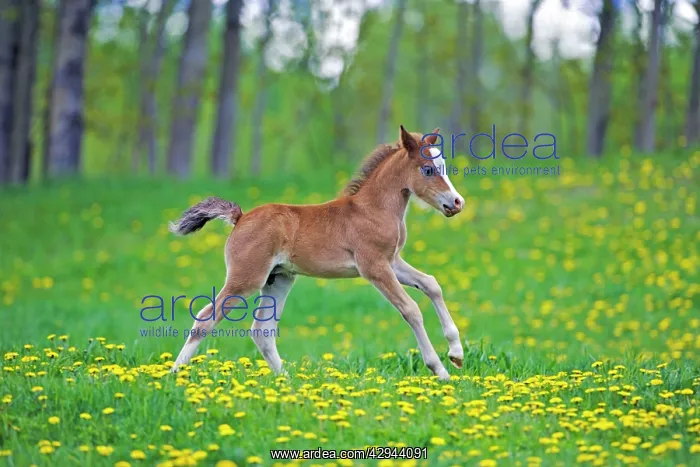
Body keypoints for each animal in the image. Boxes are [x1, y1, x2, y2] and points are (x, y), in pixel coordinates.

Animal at [168, 126, 465, 380]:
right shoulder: (374, 267)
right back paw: (174, 374)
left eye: (443, 166)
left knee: (262, 330)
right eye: (428, 169)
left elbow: (431, 284)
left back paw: (287, 381)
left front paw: (456, 353)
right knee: (206, 318)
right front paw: (439, 369)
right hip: (246, 279)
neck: (373, 209)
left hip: (279, 279)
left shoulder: (392, 262)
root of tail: (239, 218)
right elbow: (411, 309)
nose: (457, 202)